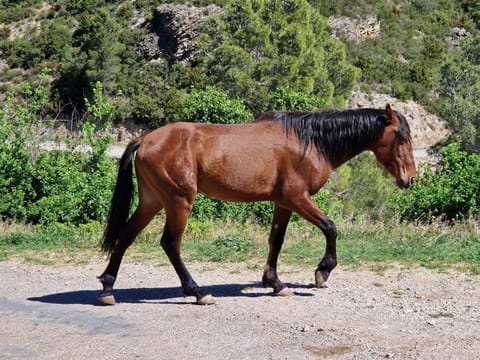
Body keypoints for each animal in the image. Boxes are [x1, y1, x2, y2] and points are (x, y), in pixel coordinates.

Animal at [98, 103, 416, 304]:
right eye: (402, 137)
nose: (410, 178)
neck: (311, 141)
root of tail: (144, 140)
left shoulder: (283, 203)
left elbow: (276, 240)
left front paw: (275, 283)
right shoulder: (298, 198)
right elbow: (330, 227)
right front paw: (323, 271)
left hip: (152, 201)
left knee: (126, 236)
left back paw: (108, 287)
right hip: (179, 202)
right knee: (170, 244)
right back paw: (197, 292)